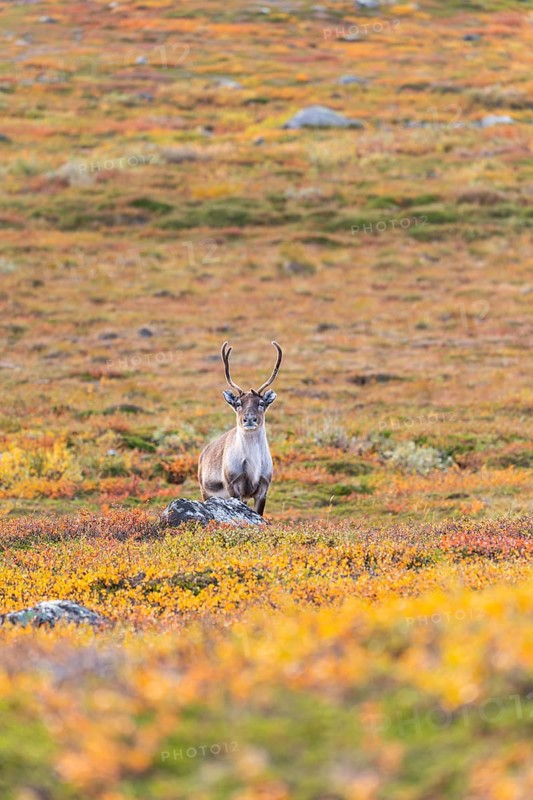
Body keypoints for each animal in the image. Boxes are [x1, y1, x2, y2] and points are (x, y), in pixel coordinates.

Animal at [198, 341, 282, 517]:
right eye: (238, 403)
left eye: (261, 403)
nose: (249, 418)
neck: (253, 466)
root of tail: (203, 453)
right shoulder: (234, 486)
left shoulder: (263, 487)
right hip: (205, 491)